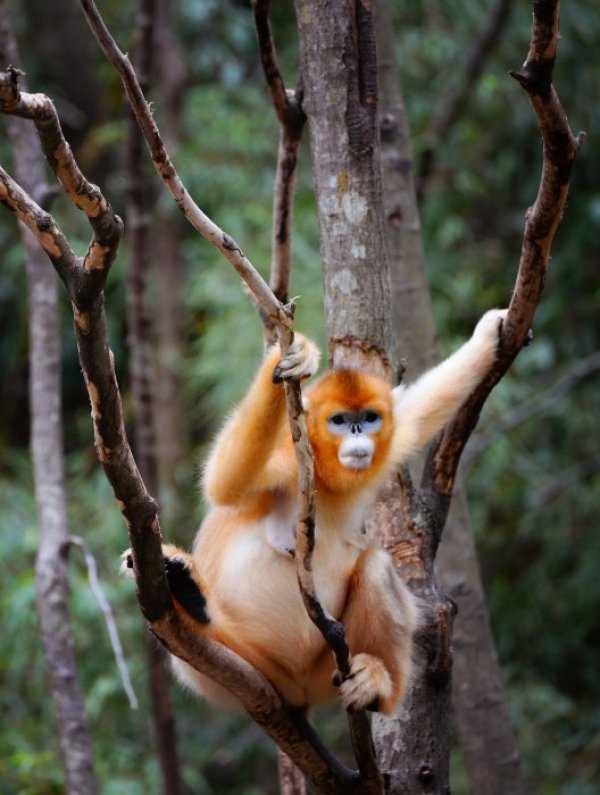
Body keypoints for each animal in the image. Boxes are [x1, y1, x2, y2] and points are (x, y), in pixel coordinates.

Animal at [125, 310, 506, 716]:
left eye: (369, 417)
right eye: (339, 420)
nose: (356, 430)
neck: (323, 476)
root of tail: (300, 690)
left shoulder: (390, 439)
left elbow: (419, 413)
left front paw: (486, 336)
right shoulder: (285, 461)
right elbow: (225, 482)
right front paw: (287, 361)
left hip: (330, 670)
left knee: (376, 568)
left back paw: (378, 689)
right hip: (239, 671)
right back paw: (191, 596)